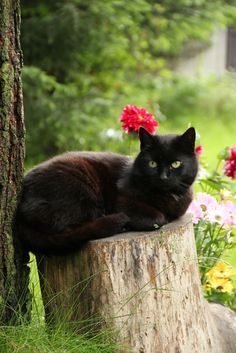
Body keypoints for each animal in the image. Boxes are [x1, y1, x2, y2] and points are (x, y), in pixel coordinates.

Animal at [15, 126, 198, 253]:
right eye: (152, 163)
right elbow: (158, 218)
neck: (167, 196)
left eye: (176, 164)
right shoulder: (124, 201)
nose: (163, 177)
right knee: (65, 227)